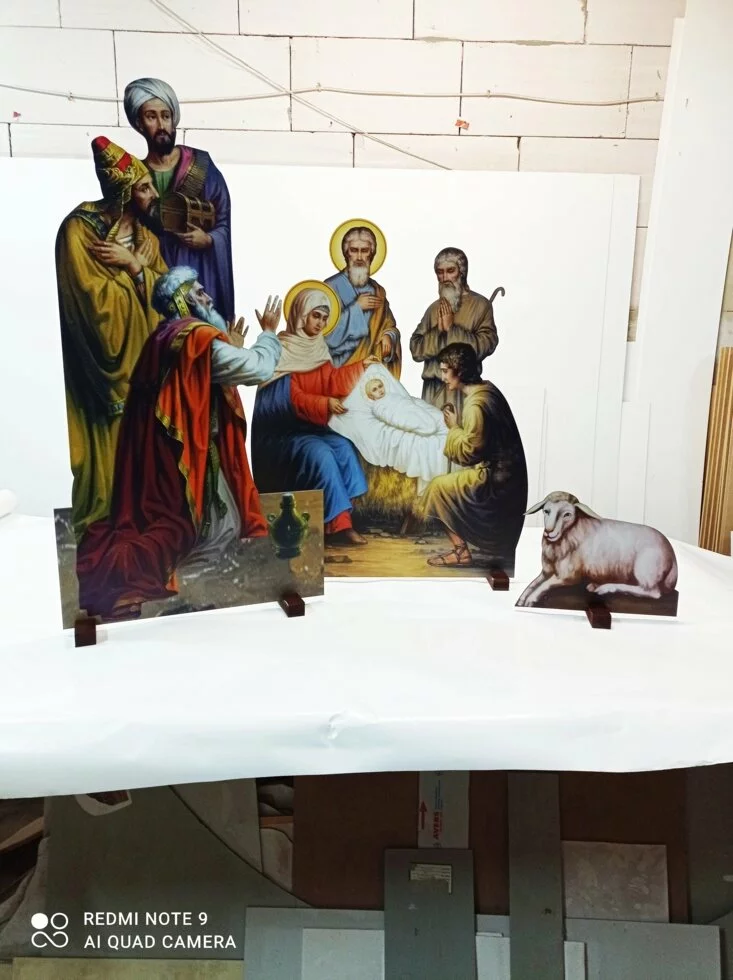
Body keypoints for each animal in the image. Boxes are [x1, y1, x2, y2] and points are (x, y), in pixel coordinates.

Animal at [516, 491, 678, 608]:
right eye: (546, 511)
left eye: (567, 514)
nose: (549, 532)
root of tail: (672, 556)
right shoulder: (546, 572)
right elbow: (532, 584)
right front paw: (521, 600)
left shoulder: (568, 576)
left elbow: (544, 585)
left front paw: (530, 600)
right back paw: (595, 585)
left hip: (645, 570)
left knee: (652, 592)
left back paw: (604, 588)